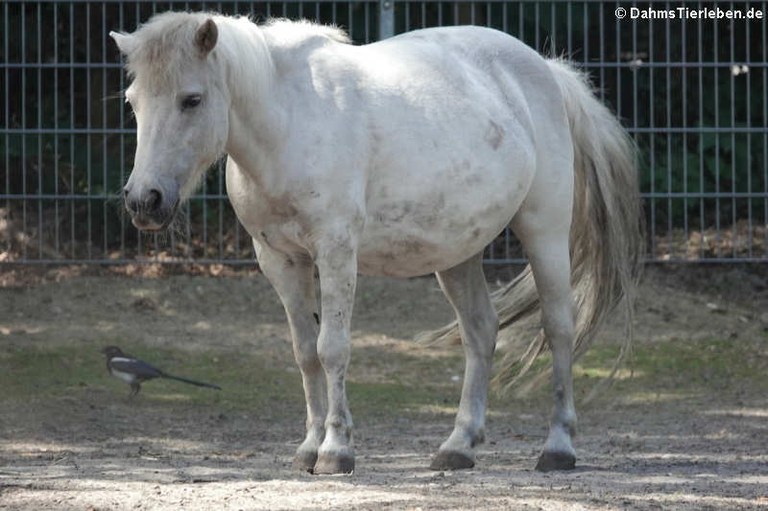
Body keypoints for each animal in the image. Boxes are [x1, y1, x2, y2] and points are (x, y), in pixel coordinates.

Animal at [111, 12, 644, 476]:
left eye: (192, 100)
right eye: (133, 101)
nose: (144, 200)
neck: (288, 122)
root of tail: (548, 72)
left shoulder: (335, 252)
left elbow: (332, 349)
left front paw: (335, 451)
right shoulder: (280, 260)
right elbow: (304, 352)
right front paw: (308, 448)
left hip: (544, 230)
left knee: (558, 329)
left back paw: (557, 447)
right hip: (457, 253)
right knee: (480, 332)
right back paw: (458, 446)